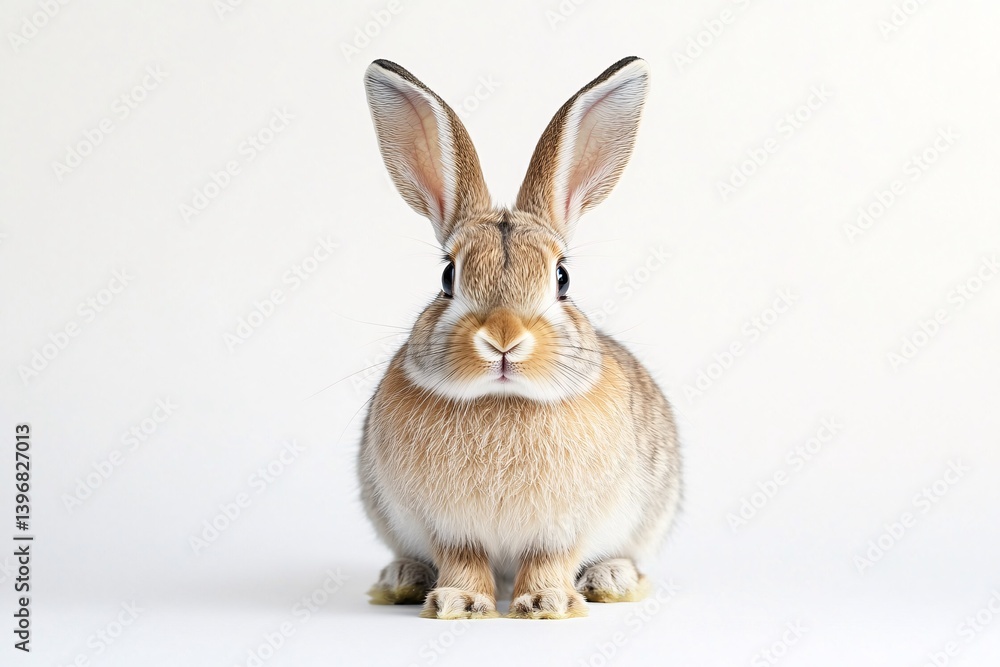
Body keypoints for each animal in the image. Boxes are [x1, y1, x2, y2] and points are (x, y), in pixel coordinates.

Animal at [358, 56, 681, 620]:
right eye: (447, 276)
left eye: (563, 278)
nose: (504, 337)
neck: (502, 400)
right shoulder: (450, 529)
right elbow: (462, 560)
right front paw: (459, 604)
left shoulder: (562, 528)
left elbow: (550, 560)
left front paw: (547, 603)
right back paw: (402, 579)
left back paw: (611, 580)